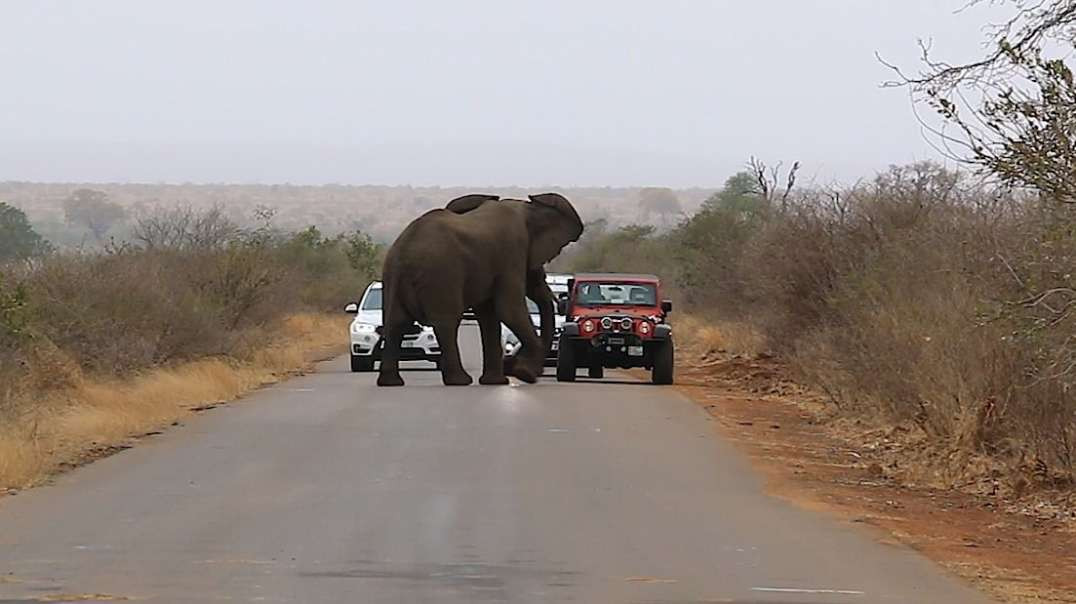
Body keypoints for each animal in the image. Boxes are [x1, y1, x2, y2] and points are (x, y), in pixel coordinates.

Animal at [376, 192, 581, 385]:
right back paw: (460, 381)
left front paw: (497, 381)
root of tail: (406, 251)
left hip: (392, 275)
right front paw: (524, 374)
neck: (527, 209)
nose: (514, 367)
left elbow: (489, 315)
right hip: (441, 275)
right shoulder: (511, 252)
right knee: (446, 323)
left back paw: (391, 382)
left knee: (395, 323)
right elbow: (509, 310)